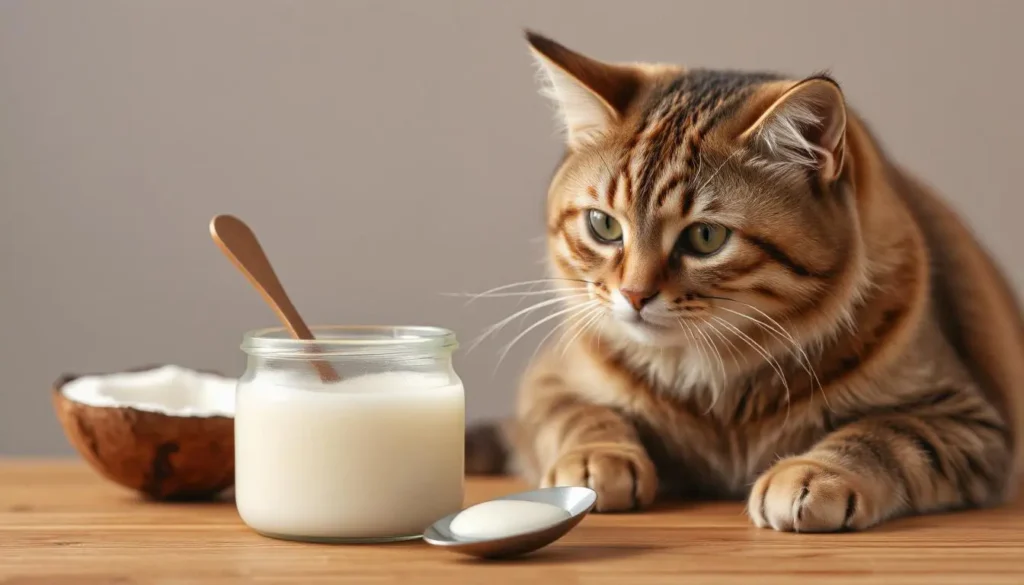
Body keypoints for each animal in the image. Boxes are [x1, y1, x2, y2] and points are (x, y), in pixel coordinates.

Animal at [468, 33, 1024, 536]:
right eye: (603, 225)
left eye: (706, 237)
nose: (634, 294)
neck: (721, 389)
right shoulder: (547, 382)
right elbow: (577, 413)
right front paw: (596, 456)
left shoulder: (971, 420)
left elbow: (883, 432)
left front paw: (815, 473)